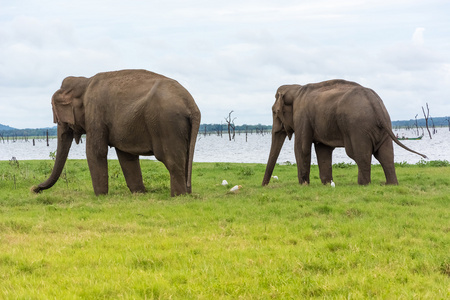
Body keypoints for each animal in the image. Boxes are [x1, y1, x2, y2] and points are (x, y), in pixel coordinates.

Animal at [32, 70, 200, 197]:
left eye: (59, 118)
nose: (35, 189)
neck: (85, 82)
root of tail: (191, 105)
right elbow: (127, 156)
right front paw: (139, 193)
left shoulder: (95, 112)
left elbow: (95, 151)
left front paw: (100, 196)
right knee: (185, 158)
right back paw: (187, 193)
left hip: (166, 123)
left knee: (172, 160)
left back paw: (178, 196)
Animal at [262, 78, 428, 186]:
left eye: (275, 112)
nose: (264, 186)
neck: (296, 89)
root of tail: (375, 101)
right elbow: (323, 149)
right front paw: (327, 184)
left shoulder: (302, 117)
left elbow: (302, 148)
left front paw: (304, 185)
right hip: (382, 127)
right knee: (385, 155)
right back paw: (390, 184)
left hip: (358, 128)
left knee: (360, 155)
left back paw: (363, 184)